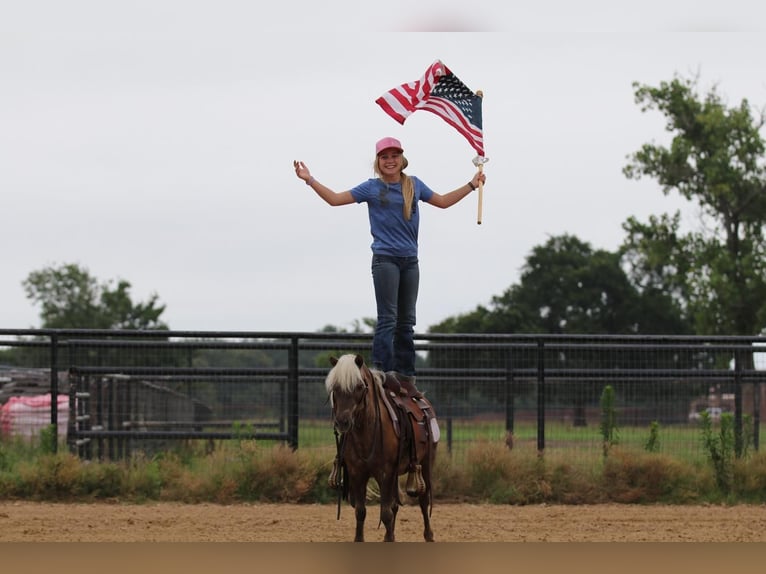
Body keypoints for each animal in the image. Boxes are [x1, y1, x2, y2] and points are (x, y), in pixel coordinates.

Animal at [326, 354, 438, 544]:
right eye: (335, 387)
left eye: (359, 386)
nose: (342, 422)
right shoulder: (357, 474)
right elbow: (361, 512)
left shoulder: (385, 474)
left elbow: (385, 514)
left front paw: (388, 538)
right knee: (395, 506)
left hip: (425, 464)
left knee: (423, 500)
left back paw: (428, 536)